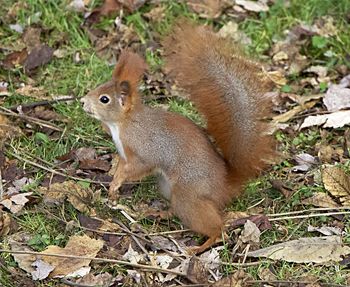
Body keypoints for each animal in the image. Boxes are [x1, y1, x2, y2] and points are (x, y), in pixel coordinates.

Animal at [80, 20, 274, 254]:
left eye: (104, 99)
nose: (82, 102)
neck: (123, 124)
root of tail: (225, 186)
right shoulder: (125, 155)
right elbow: (121, 166)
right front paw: (113, 185)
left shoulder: (145, 150)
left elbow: (139, 167)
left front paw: (117, 182)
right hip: (167, 188)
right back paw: (160, 213)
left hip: (187, 196)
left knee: (216, 228)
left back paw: (199, 247)